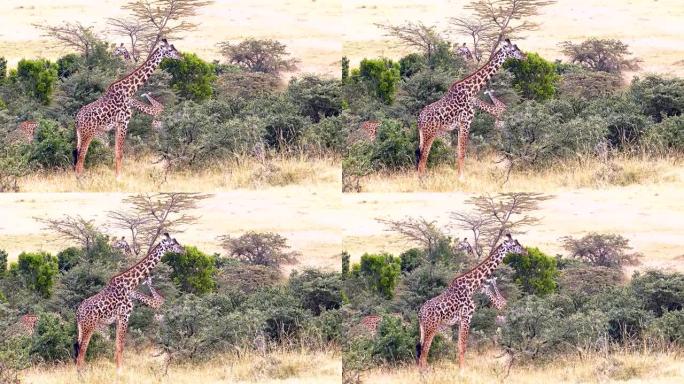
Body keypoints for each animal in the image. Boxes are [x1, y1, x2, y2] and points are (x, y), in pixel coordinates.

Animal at [75, 37, 182, 178]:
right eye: (170, 50)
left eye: (174, 48)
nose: (181, 56)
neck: (129, 90)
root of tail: (77, 119)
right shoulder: (124, 122)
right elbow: (120, 153)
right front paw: (118, 177)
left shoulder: (117, 125)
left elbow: (116, 152)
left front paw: (117, 176)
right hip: (89, 132)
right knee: (82, 155)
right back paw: (81, 178)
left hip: (80, 133)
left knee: (77, 154)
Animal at [75, 232, 182, 370]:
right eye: (173, 243)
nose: (183, 250)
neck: (130, 284)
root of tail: (78, 313)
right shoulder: (125, 315)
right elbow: (121, 346)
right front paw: (119, 371)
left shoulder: (118, 318)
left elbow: (116, 345)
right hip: (89, 326)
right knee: (82, 350)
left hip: (81, 328)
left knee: (79, 349)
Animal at [416, 39, 524, 178]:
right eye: (513, 50)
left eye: (516, 47)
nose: (524, 56)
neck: (471, 90)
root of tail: (420, 119)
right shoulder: (466, 122)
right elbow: (462, 153)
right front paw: (461, 177)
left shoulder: (458, 127)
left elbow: (458, 152)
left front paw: (459, 175)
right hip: (430, 133)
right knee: (424, 156)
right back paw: (423, 179)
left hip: (423, 134)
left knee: (420, 154)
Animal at [416, 234, 524, 368]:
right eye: (514, 245)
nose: (525, 251)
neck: (471, 286)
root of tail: (420, 313)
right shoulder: (467, 317)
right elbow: (463, 347)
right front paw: (462, 370)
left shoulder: (460, 320)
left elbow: (459, 345)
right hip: (431, 327)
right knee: (425, 350)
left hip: (424, 328)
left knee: (421, 350)